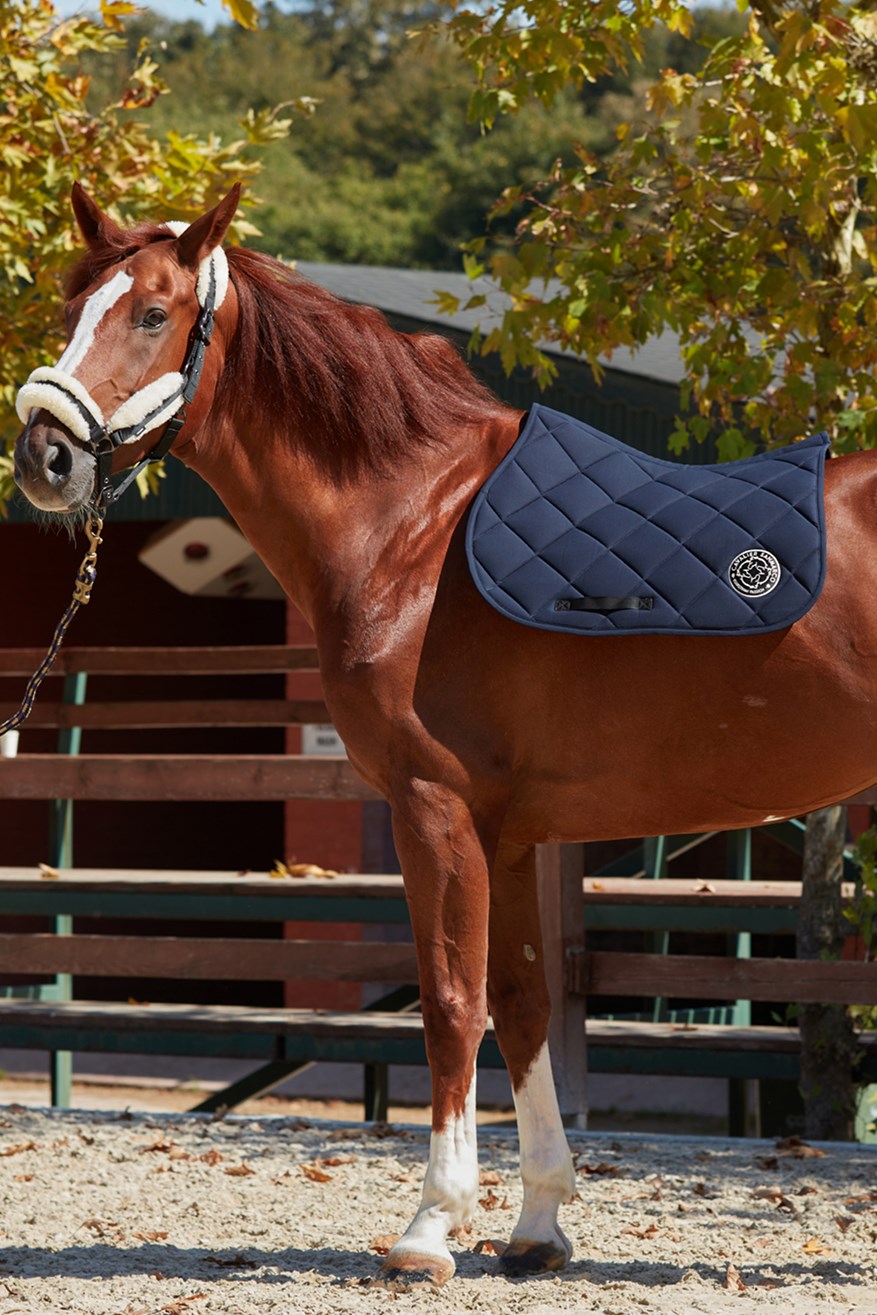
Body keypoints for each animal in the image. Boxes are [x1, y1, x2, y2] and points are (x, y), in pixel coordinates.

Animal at [12, 185, 877, 1284]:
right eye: (69, 306)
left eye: (152, 314)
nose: (43, 456)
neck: (414, 525)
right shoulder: (507, 836)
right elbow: (520, 999)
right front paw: (537, 1226)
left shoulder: (433, 810)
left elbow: (450, 1004)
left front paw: (430, 1228)